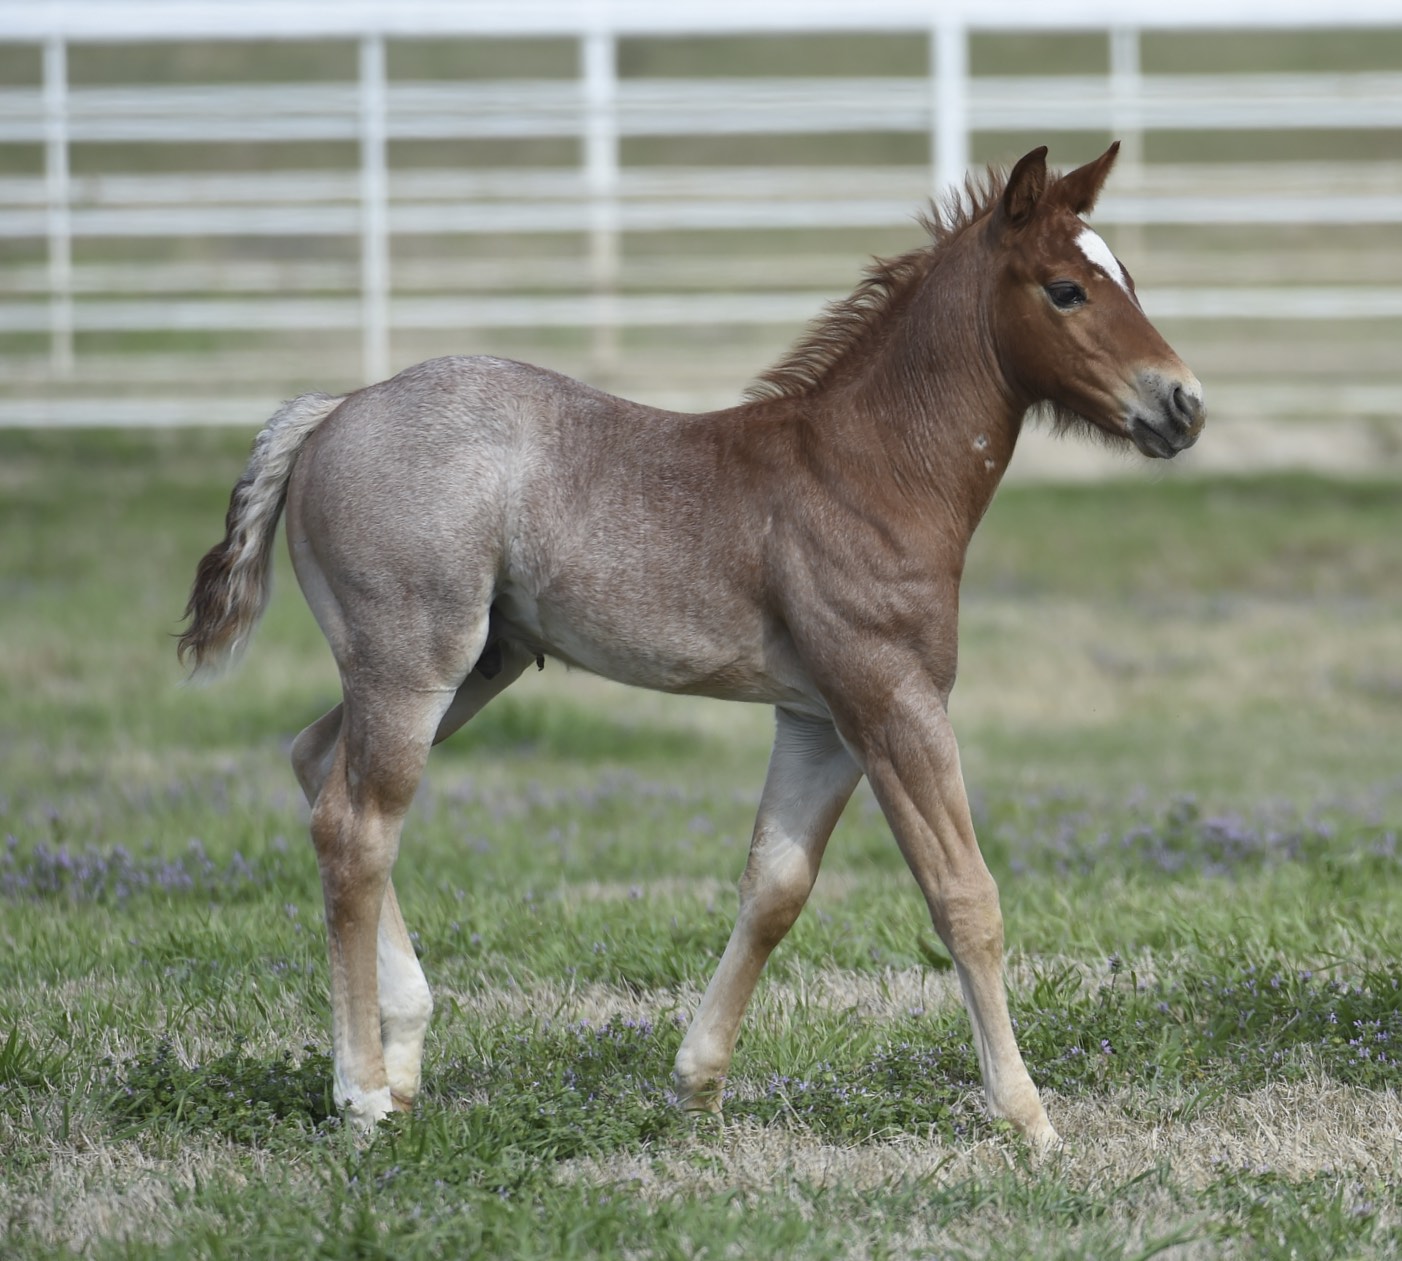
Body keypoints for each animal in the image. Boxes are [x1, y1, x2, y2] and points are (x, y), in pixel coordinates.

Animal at [179, 143, 1203, 1150]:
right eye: (1066, 289)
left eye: (1128, 275)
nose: (1183, 403)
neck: (866, 472)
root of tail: (332, 410)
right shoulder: (892, 699)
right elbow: (965, 896)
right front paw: (1030, 1118)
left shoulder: (820, 717)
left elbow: (775, 887)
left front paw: (698, 1088)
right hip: (412, 659)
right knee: (357, 829)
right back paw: (360, 1097)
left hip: (468, 668)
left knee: (317, 762)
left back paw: (403, 1059)